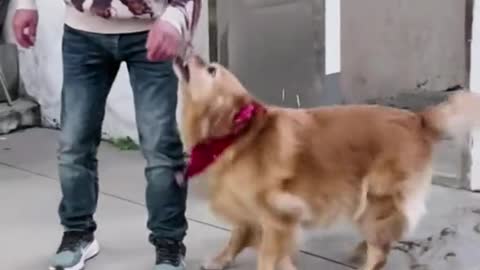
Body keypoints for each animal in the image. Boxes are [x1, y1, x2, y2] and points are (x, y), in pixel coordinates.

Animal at [173, 55, 480, 270]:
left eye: (211, 70)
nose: (192, 53)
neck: (237, 134)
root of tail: (418, 119)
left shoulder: (278, 215)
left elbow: (268, 256)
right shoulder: (247, 209)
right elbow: (237, 236)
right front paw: (220, 259)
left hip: (377, 197)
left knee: (381, 251)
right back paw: (360, 249)